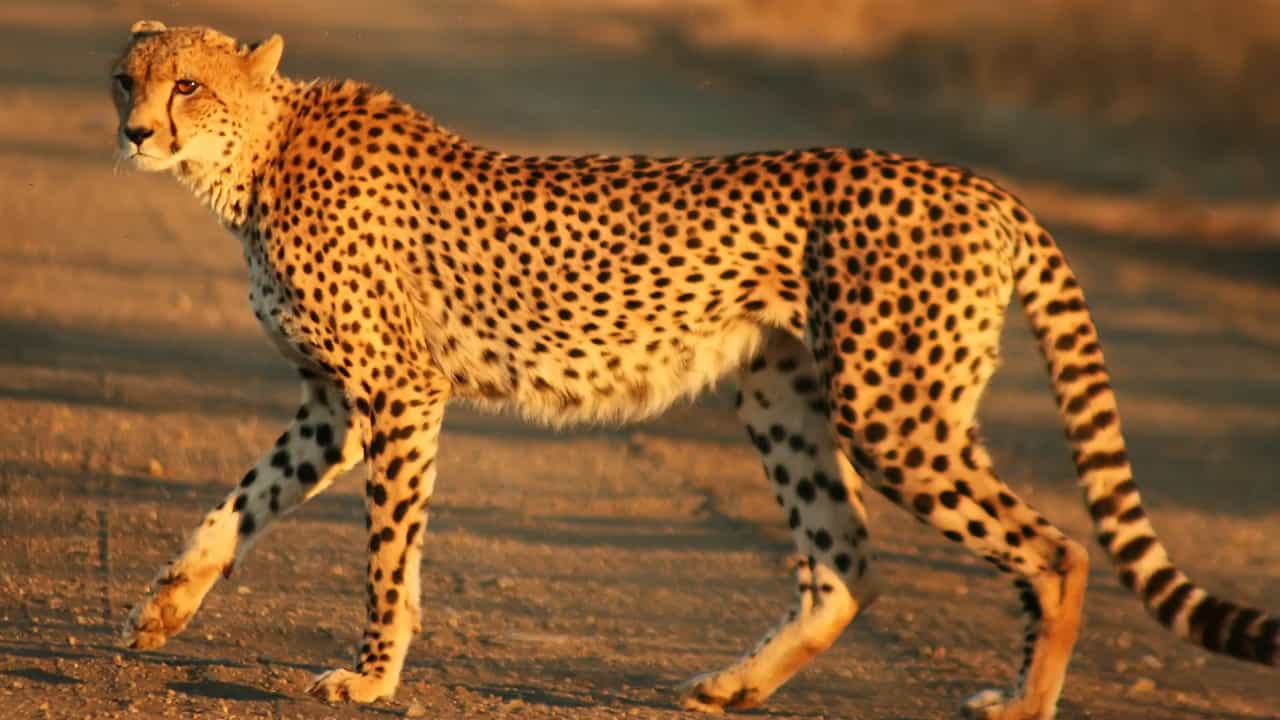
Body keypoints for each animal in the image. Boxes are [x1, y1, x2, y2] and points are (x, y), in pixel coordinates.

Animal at [110, 21, 1277, 719]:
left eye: (189, 87)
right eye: (128, 78)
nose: (130, 133)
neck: (254, 157)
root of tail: (979, 184)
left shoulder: (398, 392)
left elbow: (388, 555)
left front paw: (369, 674)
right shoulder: (334, 404)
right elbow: (241, 501)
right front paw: (165, 607)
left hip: (891, 410)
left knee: (1056, 549)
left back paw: (1024, 701)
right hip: (783, 395)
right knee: (845, 565)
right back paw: (734, 684)